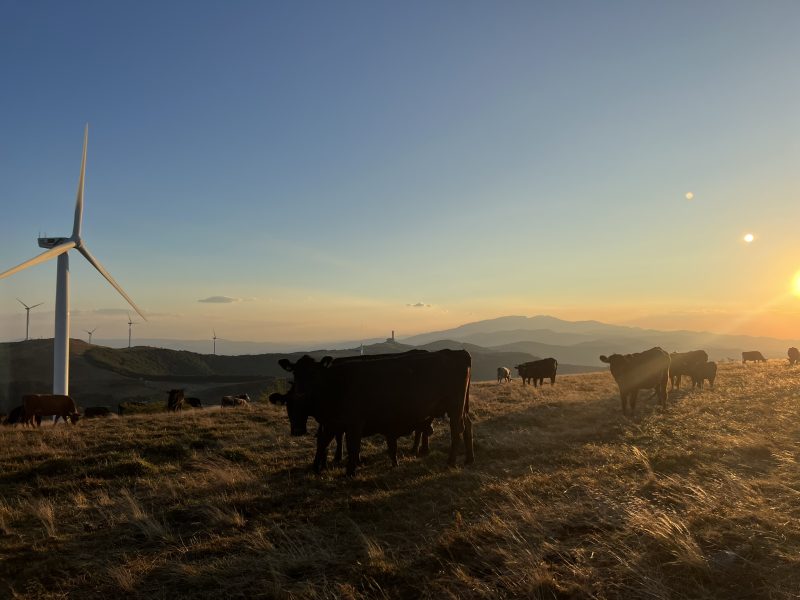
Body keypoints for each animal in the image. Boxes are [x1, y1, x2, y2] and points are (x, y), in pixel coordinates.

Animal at [278, 350, 472, 476]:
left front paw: (349, 471)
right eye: (295, 373)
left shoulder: (354, 422)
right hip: (461, 407)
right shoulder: (333, 422)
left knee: (456, 429)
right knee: (467, 424)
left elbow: (351, 445)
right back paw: (468, 459)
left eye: (314, 374)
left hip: (455, 406)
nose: (301, 393)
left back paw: (450, 462)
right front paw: (318, 466)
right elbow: (324, 441)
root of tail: (457, 353)